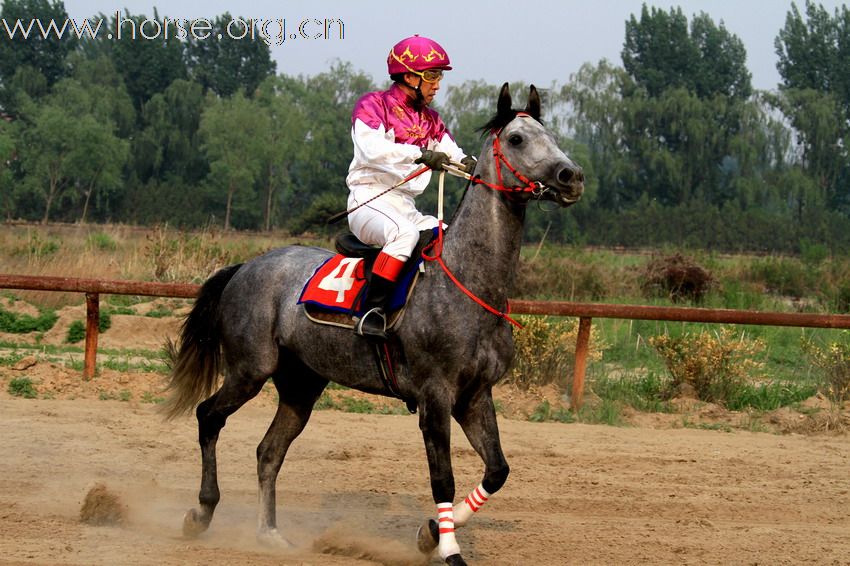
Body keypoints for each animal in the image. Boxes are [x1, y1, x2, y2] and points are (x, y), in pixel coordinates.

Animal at [162, 82, 580, 564]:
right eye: (516, 139)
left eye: (550, 136)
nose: (571, 176)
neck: (467, 282)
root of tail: (247, 266)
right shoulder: (435, 396)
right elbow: (443, 478)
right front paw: (447, 548)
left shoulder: (475, 395)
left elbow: (497, 471)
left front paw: (431, 532)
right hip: (250, 370)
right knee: (208, 417)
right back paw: (201, 512)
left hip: (301, 385)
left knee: (269, 452)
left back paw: (269, 534)